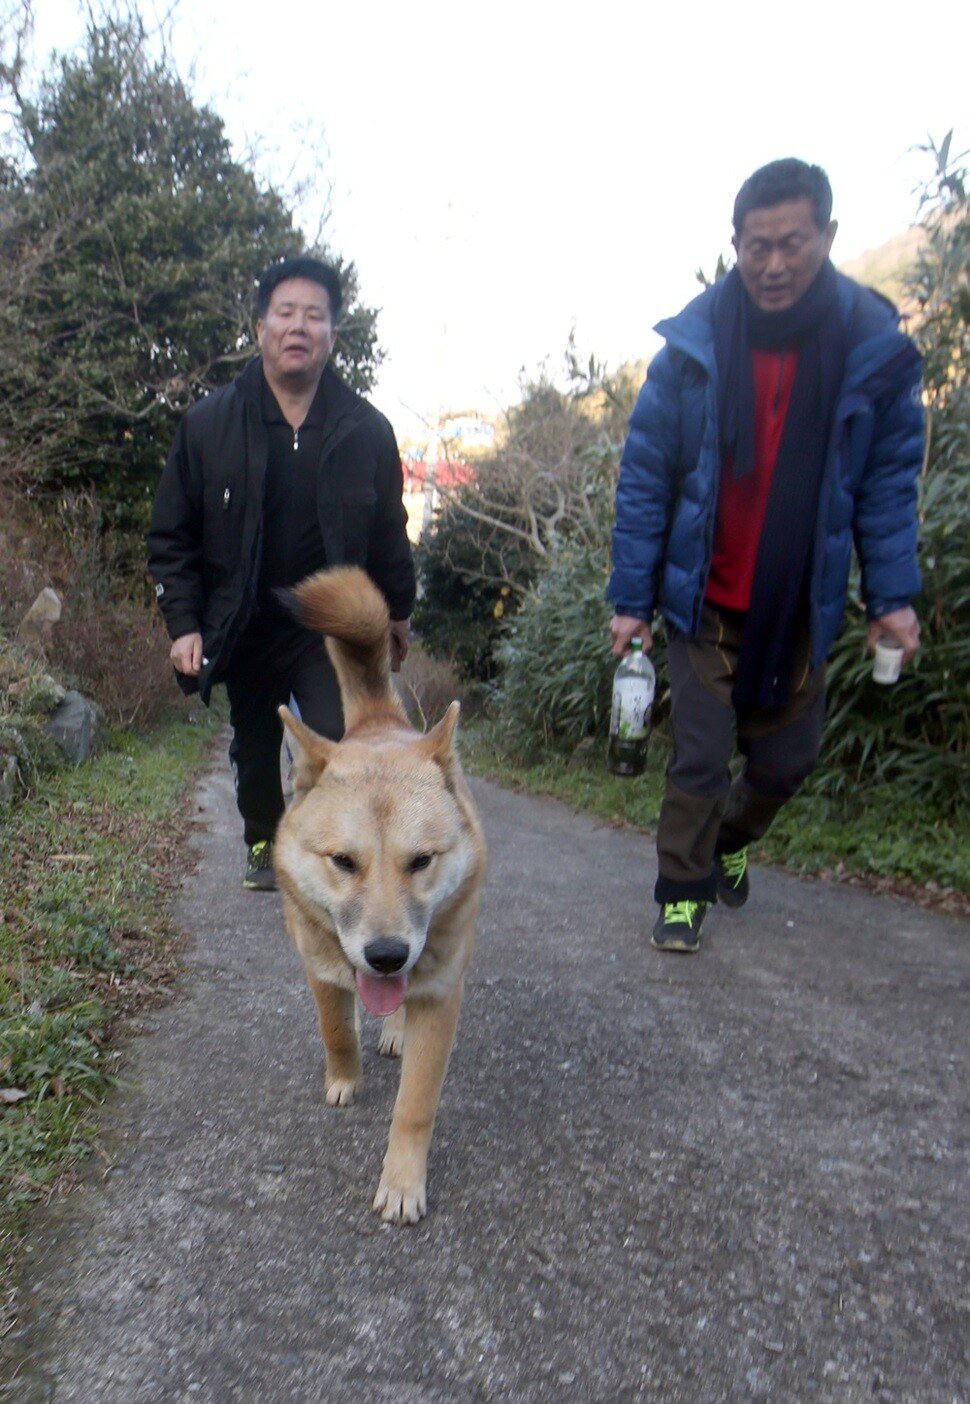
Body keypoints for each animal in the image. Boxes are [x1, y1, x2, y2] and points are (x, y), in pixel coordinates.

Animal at [270, 564, 485, 1224]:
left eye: (421, 862)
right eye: (343, 861)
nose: (387, 956)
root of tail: (382, 725)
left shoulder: (440, 995)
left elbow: (415, 1106)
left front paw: (403, 1181)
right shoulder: (320, 968)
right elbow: (337, 1031)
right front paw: (346, 1076)